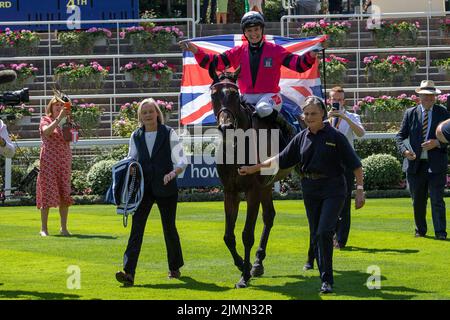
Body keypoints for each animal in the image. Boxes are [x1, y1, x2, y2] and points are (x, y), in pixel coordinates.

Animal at [208, 67, 296, 288]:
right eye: (214, 95)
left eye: (234, 94)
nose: (226, 127)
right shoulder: (230, 191)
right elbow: (228, 236)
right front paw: (243, 264)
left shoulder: (252, 191)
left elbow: (247, 234)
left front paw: (244, 276)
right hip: (266, 185)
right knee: (269, 216)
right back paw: (258, 262)